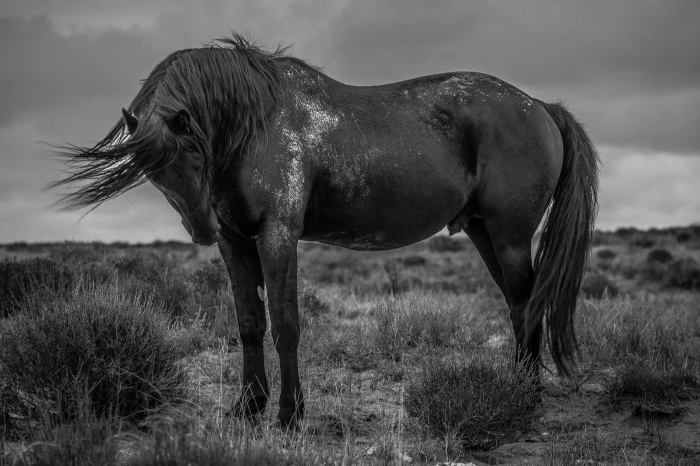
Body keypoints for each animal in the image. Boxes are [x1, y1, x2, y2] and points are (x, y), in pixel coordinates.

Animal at [53, 35, 599, 427]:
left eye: (193, 151)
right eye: (154, 172)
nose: (202, 229)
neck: (257, 125)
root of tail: (540, 107)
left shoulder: (277, 234)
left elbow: (286, 324)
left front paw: (289, 415)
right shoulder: (235, 242)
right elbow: (249, 324)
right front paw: (248, 408)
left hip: (509, 236)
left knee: (526, 303)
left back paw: (525, 394)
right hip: (484, 232)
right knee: (519, 304)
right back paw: (518, 388)